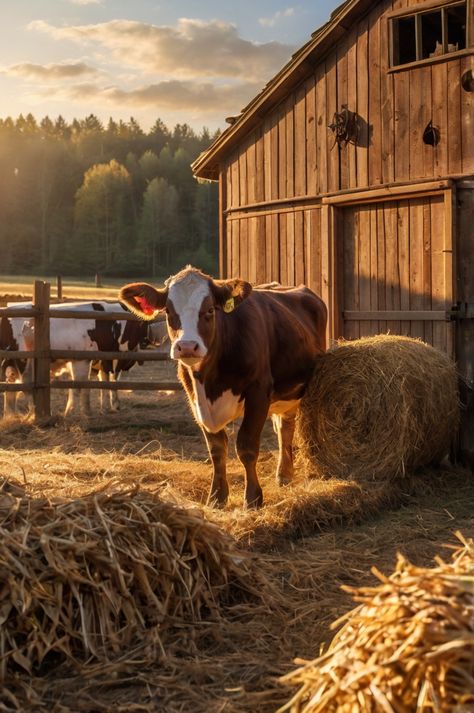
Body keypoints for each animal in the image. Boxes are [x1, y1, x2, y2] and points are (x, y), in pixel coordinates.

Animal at [119, 266, 326, 506]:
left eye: (210, 310)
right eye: (168, 312)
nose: (187, 346)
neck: (210, 379)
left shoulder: (258, 392)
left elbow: (246, 446)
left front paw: (253, 498)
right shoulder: (195, 398)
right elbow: (217, 448)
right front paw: (217, 496)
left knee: (286, 427)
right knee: (285, 427)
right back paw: (284, 475)